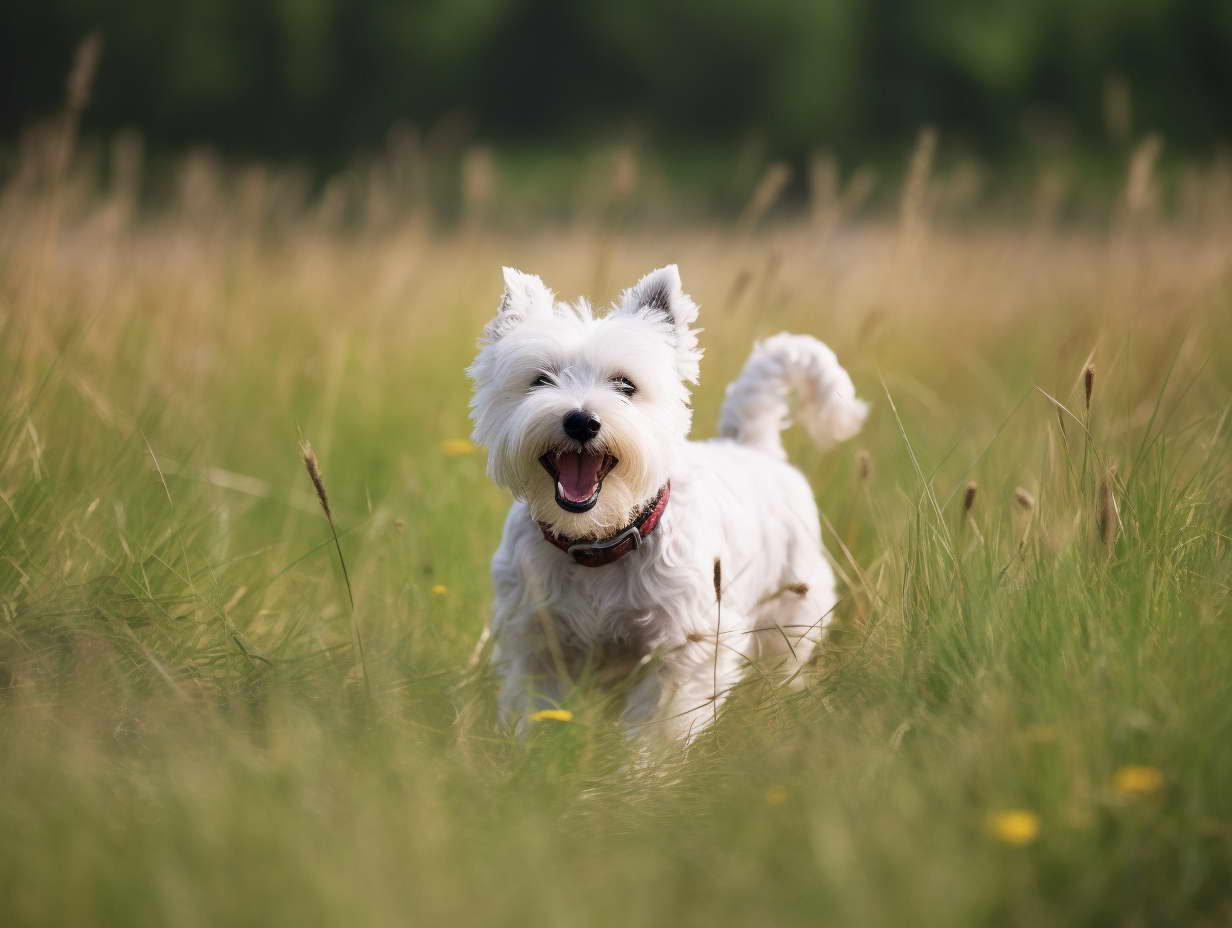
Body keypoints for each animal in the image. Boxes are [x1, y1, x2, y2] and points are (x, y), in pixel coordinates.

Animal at [468, 263, 867, 744]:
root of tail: (756, 446)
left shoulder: (685, 648)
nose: (581, 421)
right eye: (540, 380)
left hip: (791, 617)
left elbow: (653, 733)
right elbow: (537, 712)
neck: (598, 542)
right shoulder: (536, 641)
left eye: (626, 385)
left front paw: (635, 767)